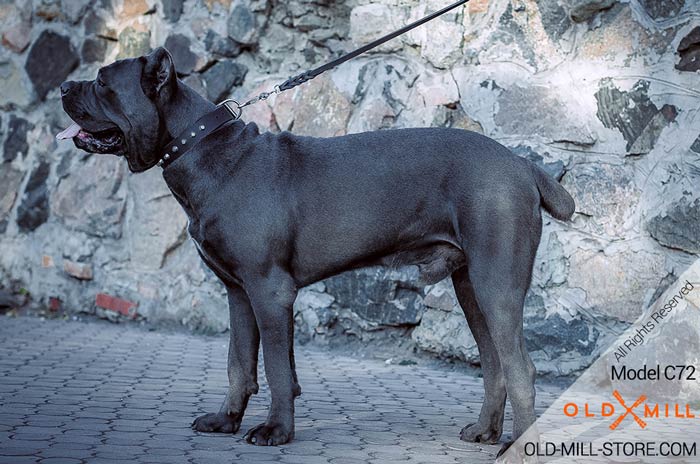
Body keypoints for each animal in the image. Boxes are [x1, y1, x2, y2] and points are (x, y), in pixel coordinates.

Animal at [58, 48, 576, 454]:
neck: (200, 149)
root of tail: (522, 164)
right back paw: (486, 432)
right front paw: (226, 421)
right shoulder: (238, 293)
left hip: (496, 282)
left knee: (521, 366)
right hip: (470, 286)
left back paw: (517, 445)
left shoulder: (269, 291)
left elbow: (274, 367)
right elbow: (238, 363)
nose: (63, 85)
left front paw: (275, 431)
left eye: (102, 83)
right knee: (494, 364)